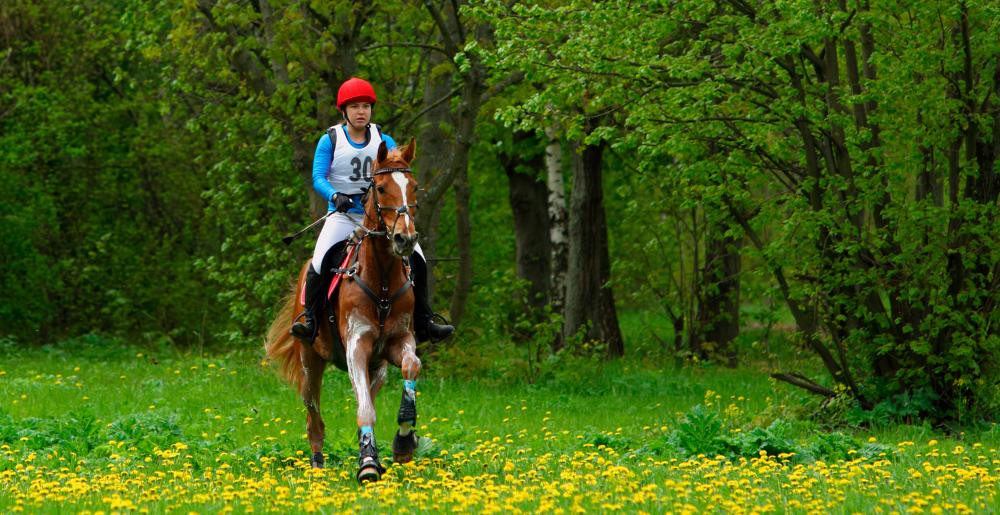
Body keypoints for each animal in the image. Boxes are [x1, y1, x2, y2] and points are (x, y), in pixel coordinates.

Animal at [266, 140, 422, 484]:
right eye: (381, 187)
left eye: (414, 187)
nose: (405, 239)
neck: (383, 281)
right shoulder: (356, 346)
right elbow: (364, 409)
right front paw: (368, 465)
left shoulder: (398, 341)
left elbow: (411, 367)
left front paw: (403, 440)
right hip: (310, 362)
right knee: (314, 417)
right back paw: (317, 464)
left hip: (377, 369)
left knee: (370, 395)